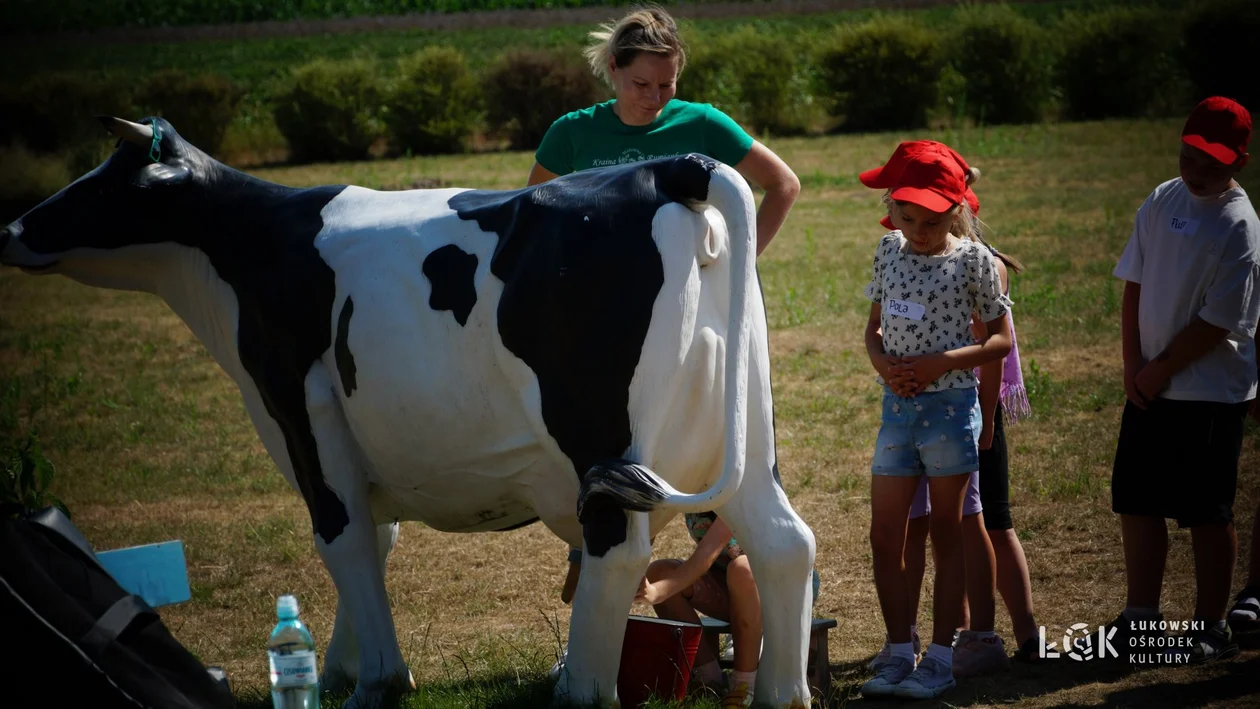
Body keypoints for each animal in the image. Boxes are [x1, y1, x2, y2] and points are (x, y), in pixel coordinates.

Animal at [0, 117, 821, 709]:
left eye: (100, 182)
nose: (10, 230)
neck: (246, 251)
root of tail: (671, 167)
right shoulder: (361, 437)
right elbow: (375, 535)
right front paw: (336, 669)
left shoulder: (299, 406)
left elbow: (342, 537)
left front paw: (376, 682)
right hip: (747, 432)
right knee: (784, 542)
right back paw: (783, 696)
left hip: (600, 433)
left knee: (617, 549)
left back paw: (580, 690)